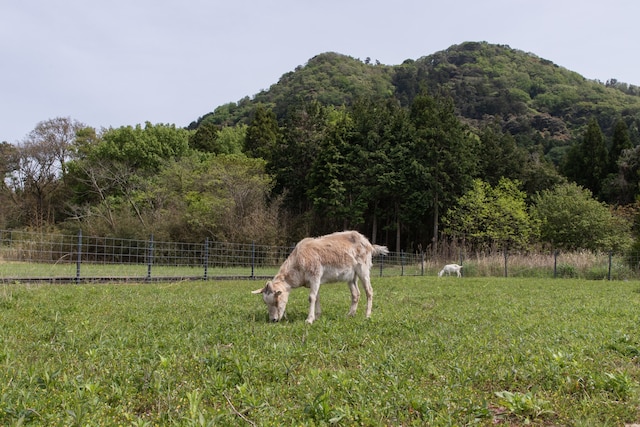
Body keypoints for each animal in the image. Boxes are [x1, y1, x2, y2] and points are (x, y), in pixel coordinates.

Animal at [252, 231, 388, 324]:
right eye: (265, 302)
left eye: (276, 300)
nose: (273, 320)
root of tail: (368, 244)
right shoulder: (313, 282)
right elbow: (316, 297)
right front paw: (317, 316)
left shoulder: (315, 276)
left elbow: (311, 297)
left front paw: (309, 320)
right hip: (351, 276)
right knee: (356, 294)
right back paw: (350, 314)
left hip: (363, 268)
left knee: (369, 291)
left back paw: (367, 315)